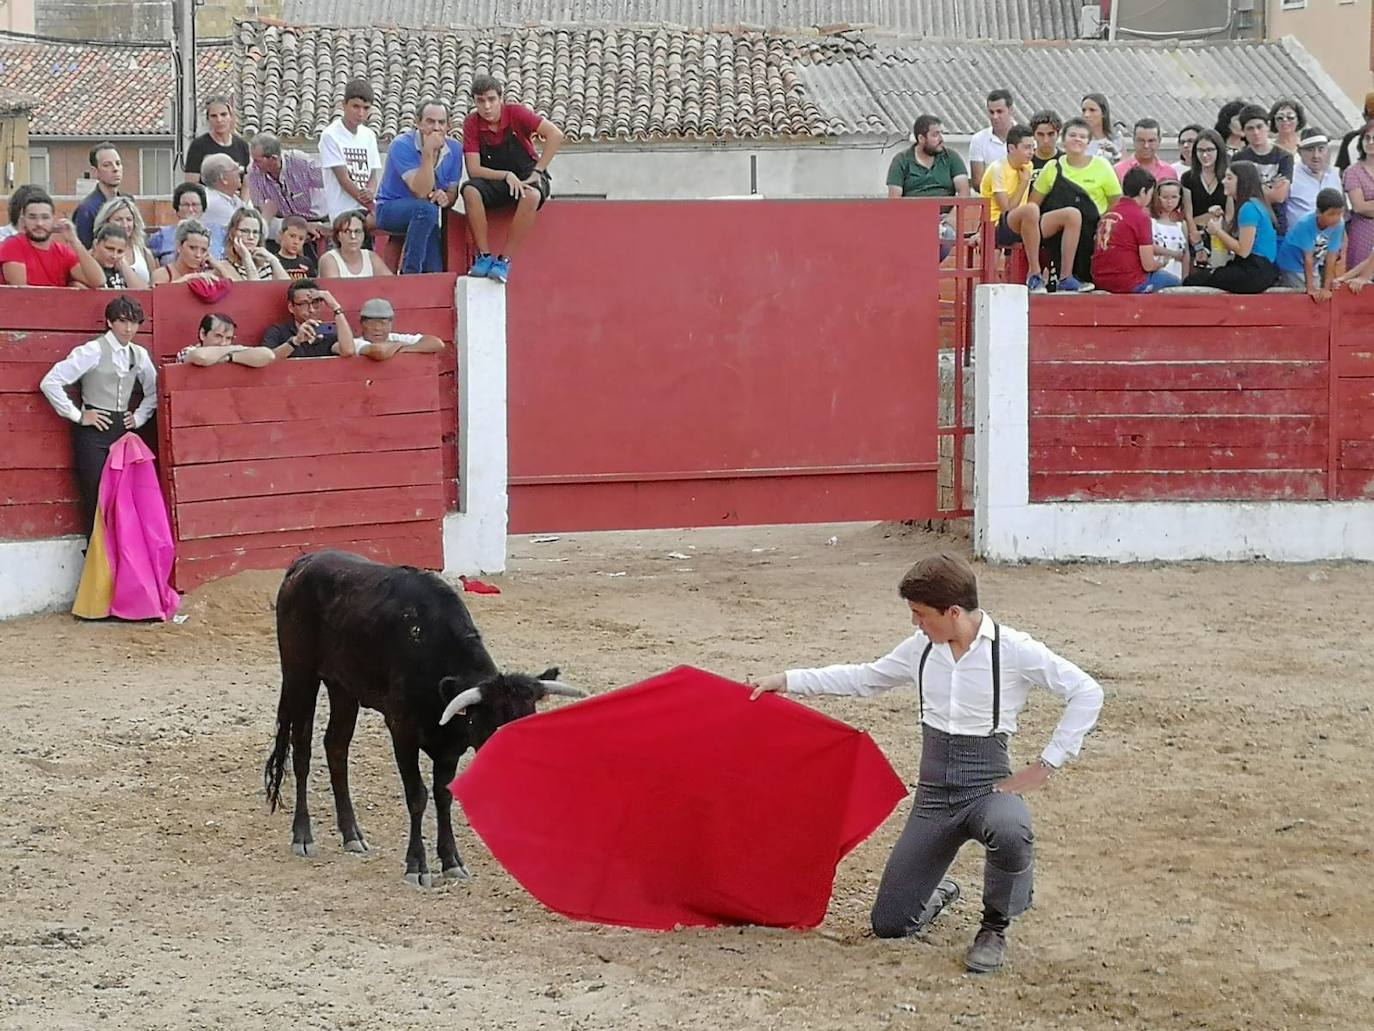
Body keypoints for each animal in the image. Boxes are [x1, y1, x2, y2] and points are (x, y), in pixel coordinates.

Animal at [262, 552, 579, 885]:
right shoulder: (402, 730)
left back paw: (353, 836)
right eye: (490, 725)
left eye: (528, 720)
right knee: (302, 751)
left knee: (336, 747)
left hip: (343, 688)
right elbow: (417, 795)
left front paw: (452, 861)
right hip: (300, 675)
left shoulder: (450, 747)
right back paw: (303, 837)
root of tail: (304, 561)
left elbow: (444, 795)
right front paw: (417, 866)